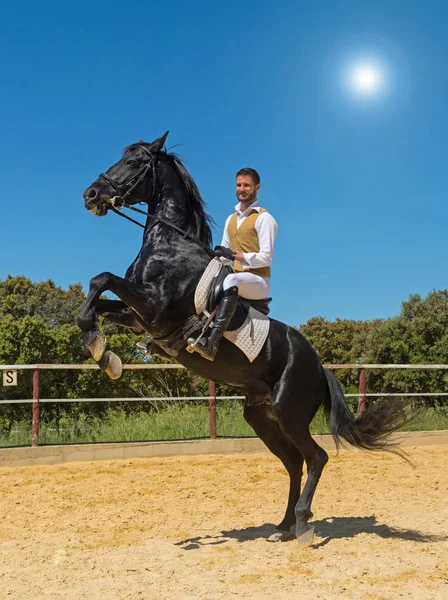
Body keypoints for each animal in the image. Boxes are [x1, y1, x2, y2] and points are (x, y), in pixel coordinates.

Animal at [79, 134, 408, 548]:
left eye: (135, 162)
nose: (90, 194)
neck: (169, 246)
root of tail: (319, 367)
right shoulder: (138, 316)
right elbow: (99, 296)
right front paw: (102, 351)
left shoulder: (154, 309)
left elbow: (101, 278)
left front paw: (97, 345)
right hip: (261, 416)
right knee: (294, 463)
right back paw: (282, 526)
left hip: (288, 412)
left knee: (316, 458)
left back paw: (302, 524)